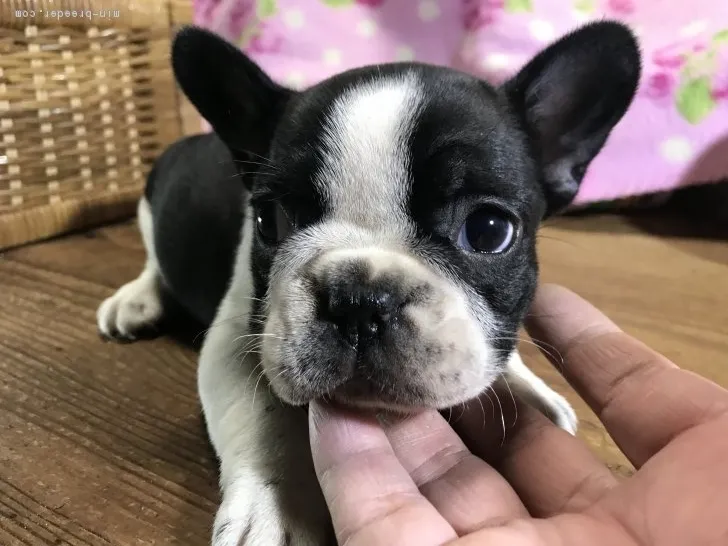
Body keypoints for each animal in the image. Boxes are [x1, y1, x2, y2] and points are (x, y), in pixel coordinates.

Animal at [96, 22, 636, 544]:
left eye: (488, 230)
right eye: (269, 221)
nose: (358, 299)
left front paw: (527, 390)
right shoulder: (237, 335)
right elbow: (263, 418)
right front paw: (279, 506)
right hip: (149, 208)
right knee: (153, 259)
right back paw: (136, 300)